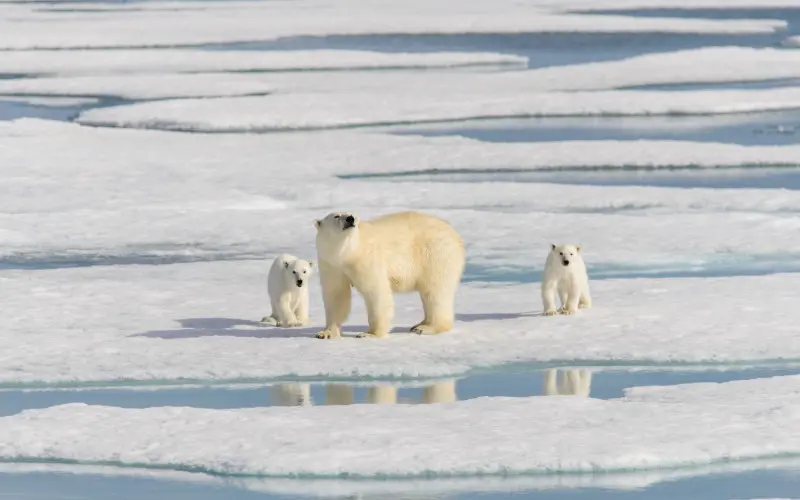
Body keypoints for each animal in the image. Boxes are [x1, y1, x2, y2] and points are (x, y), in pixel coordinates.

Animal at [313, 210, 465, 339]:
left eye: (352, 214)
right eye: (336, 216)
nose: (350, 219)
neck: (347, 254)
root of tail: (456, 235)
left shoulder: (366, 259)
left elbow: (376, 292)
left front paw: (370, 334)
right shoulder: (331, 265)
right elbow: (336, 295)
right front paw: (326, 333)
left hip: (435, 254)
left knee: (435, 291)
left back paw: (426, 327)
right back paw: (419, 324)